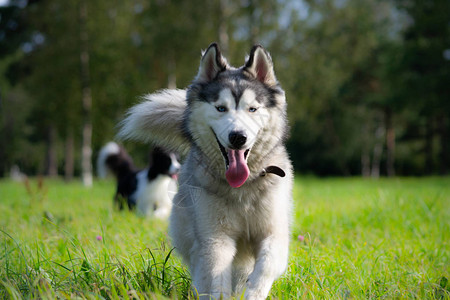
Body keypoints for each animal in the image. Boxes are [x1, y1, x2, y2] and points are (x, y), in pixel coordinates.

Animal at [118, 43, 292, 298]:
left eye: (252, 109)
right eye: (221, 108)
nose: (238, 137)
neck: (242, 189)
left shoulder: (274, 232)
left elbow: (267, 264)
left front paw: (253, 292)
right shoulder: (214, 238)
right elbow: (216, 272)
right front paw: (220, 294)